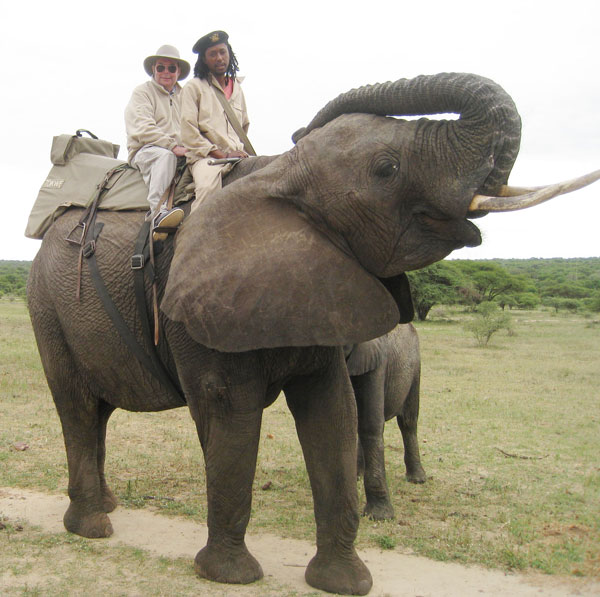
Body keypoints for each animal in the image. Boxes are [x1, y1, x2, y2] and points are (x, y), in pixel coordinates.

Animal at [344, 322, 424, 520]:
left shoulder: (377, 362)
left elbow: (371, 425)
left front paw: (379, 516)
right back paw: (357, 475)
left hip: (415, 368)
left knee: (408, 422)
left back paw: (417, 480)